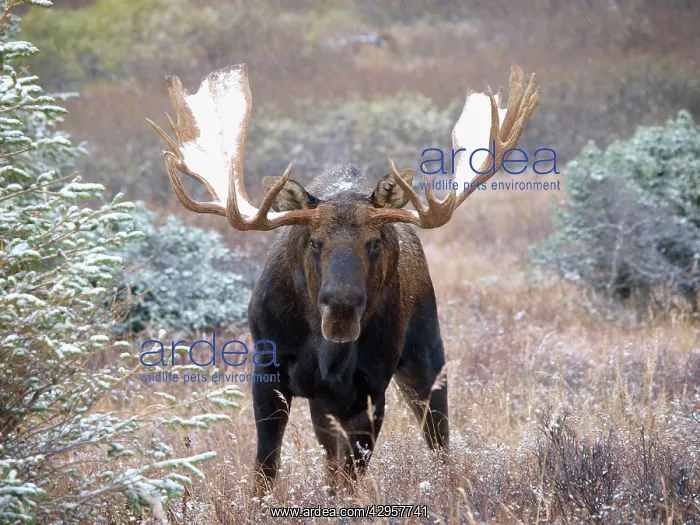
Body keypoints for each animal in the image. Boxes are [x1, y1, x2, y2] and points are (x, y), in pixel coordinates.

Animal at [147, 63, 539, 493]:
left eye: (374, 241)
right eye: (314, 241)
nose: (341, 309)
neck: (325, 354)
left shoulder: (368, 389)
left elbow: (350, 478)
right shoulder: (267, 373)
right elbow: (266, 467)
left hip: (425, 355)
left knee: (438, 439)